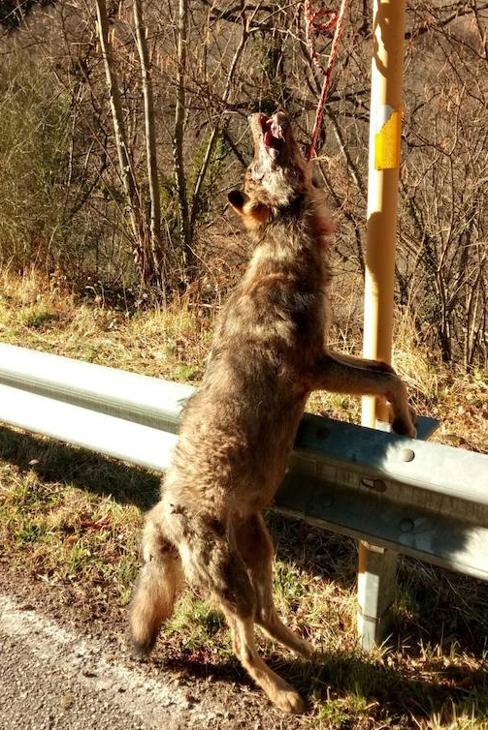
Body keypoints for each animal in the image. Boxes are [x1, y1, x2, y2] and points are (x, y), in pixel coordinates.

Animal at [129, 110, 416, 713]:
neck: (283, 255)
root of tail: (161, 511)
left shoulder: (329, 356)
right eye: (258, 167)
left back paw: (308, 651)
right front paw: (403, 426)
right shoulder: (318, 367)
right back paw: (285, 693)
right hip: (233, 583)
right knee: (243, 645)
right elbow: (389, 376)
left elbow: (383, 367)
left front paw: (402, 422)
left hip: (261, 549)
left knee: (266, 614)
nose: (262, 114)